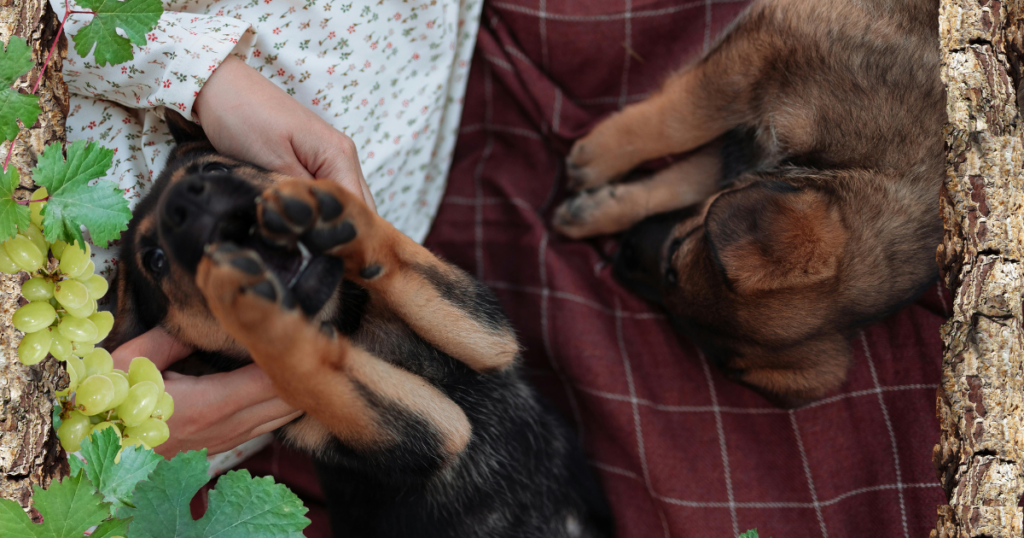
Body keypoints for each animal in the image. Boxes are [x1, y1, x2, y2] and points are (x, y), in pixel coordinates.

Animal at [108, 112, 610, 536]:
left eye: (211, 170)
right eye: (155, 260)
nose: (183, 204)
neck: (346, 327)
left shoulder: (488, 334)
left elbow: (395, 254)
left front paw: (337, 212)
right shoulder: (435, 431)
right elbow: (304, 363)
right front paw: (251, 308)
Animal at [552, 0, 942, 405]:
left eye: (677, 318)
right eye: (676, 253)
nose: (619, 261)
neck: (875, 168)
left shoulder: (744, 150)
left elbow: (682, 181)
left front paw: (594, 210)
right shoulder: (760, 55)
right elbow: (681, 122)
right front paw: (598, 156)